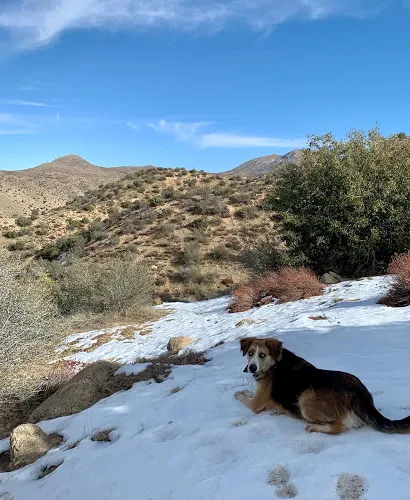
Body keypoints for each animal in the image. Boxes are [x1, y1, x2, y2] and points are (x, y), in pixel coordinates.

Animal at [234, 337, 410, 435]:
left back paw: (314, 427)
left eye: (262, 355)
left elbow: (242, 397)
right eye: (250, 353)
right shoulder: (257, 395)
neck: (274, 364)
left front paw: (238, 394)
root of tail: (358, 392)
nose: (252, 368)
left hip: (305, 400)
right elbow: (248, 393)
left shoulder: (256, 403)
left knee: (338, 427)